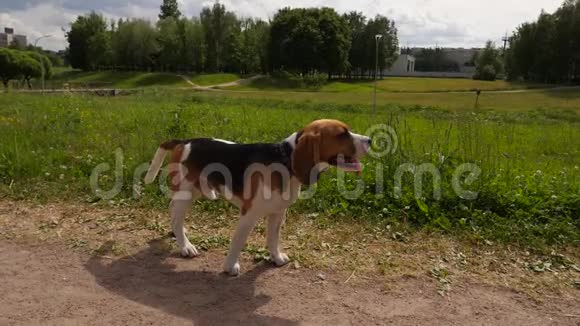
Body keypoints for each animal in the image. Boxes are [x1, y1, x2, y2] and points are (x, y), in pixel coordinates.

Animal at [144, 119, 372, 276]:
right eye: (342, 134)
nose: (370, 140)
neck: (285, 159)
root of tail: (184, 141)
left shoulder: (278, 213)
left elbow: (273, 239)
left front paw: (276, 258)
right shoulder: (249, 215)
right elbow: (238, 241)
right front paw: (230, 266)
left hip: (196, 191)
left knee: (173, 211)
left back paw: (178, 234)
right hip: (186, 192)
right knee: (176, 214)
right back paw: (185, 246)